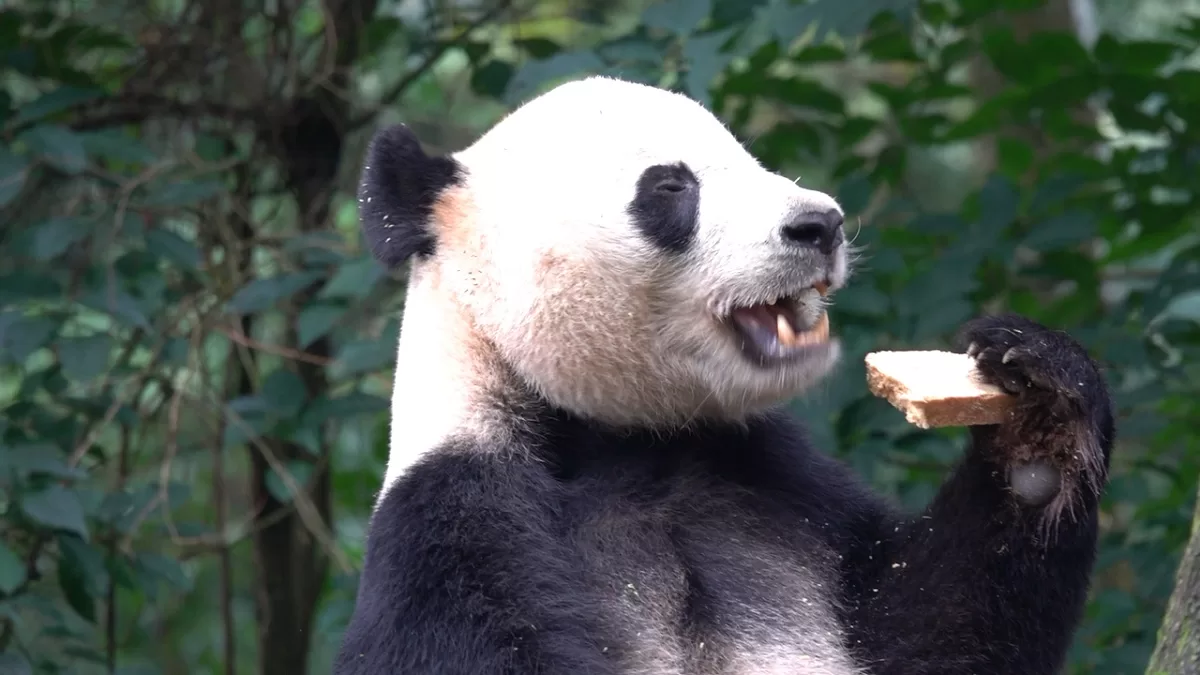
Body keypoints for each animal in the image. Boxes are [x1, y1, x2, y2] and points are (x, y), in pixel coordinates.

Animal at [334, 76, 1115, 675]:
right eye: (671, 187)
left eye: (752, 159)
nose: (821, 225)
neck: (623, 439)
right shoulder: (453, 534)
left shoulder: (777, 490)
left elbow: (931, 629)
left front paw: (1040, 412)